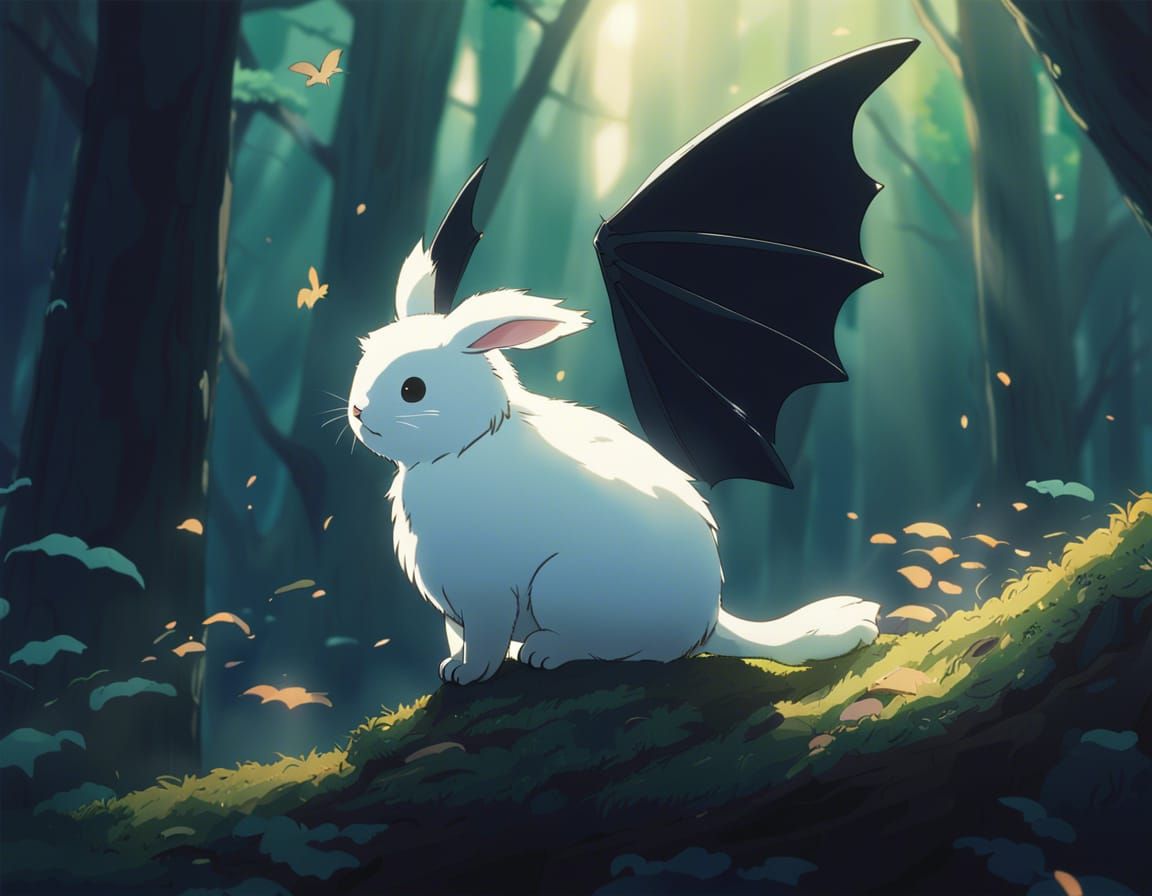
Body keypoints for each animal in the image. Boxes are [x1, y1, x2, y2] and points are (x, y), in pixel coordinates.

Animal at [347, 240, 880, 685]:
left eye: (412, 389)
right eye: (364, 363)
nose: (356, 411)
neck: (464, 447)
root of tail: (711, 621)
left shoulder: (485, 592)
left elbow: (483, 640)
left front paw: (468, 675)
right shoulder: (453, 600)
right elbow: (457, 637)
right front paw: (451, 667)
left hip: (561, 587)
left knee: (623, 651)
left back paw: (545, 652)